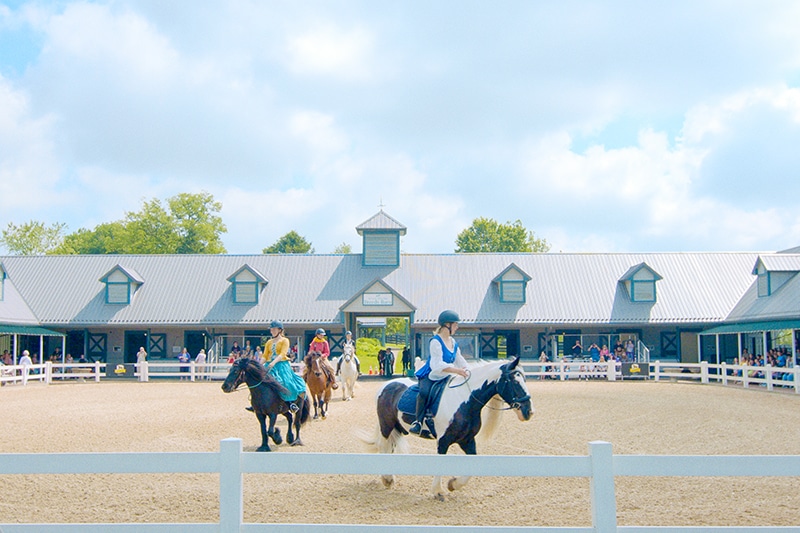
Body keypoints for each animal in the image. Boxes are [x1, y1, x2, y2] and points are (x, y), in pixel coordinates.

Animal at [360, 354, 532, 498]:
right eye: (515, 382)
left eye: (524, 380)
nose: (528, 412)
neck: (465, 401)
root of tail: (387, 385)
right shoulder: (443, 440)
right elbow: (440, 463)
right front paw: (438, 491)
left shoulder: (467, 440)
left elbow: (472, 466)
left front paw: (453, 484)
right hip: (386, 426)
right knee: (384, 447)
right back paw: (386, 479)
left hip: (399, 428)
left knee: (390, 447)